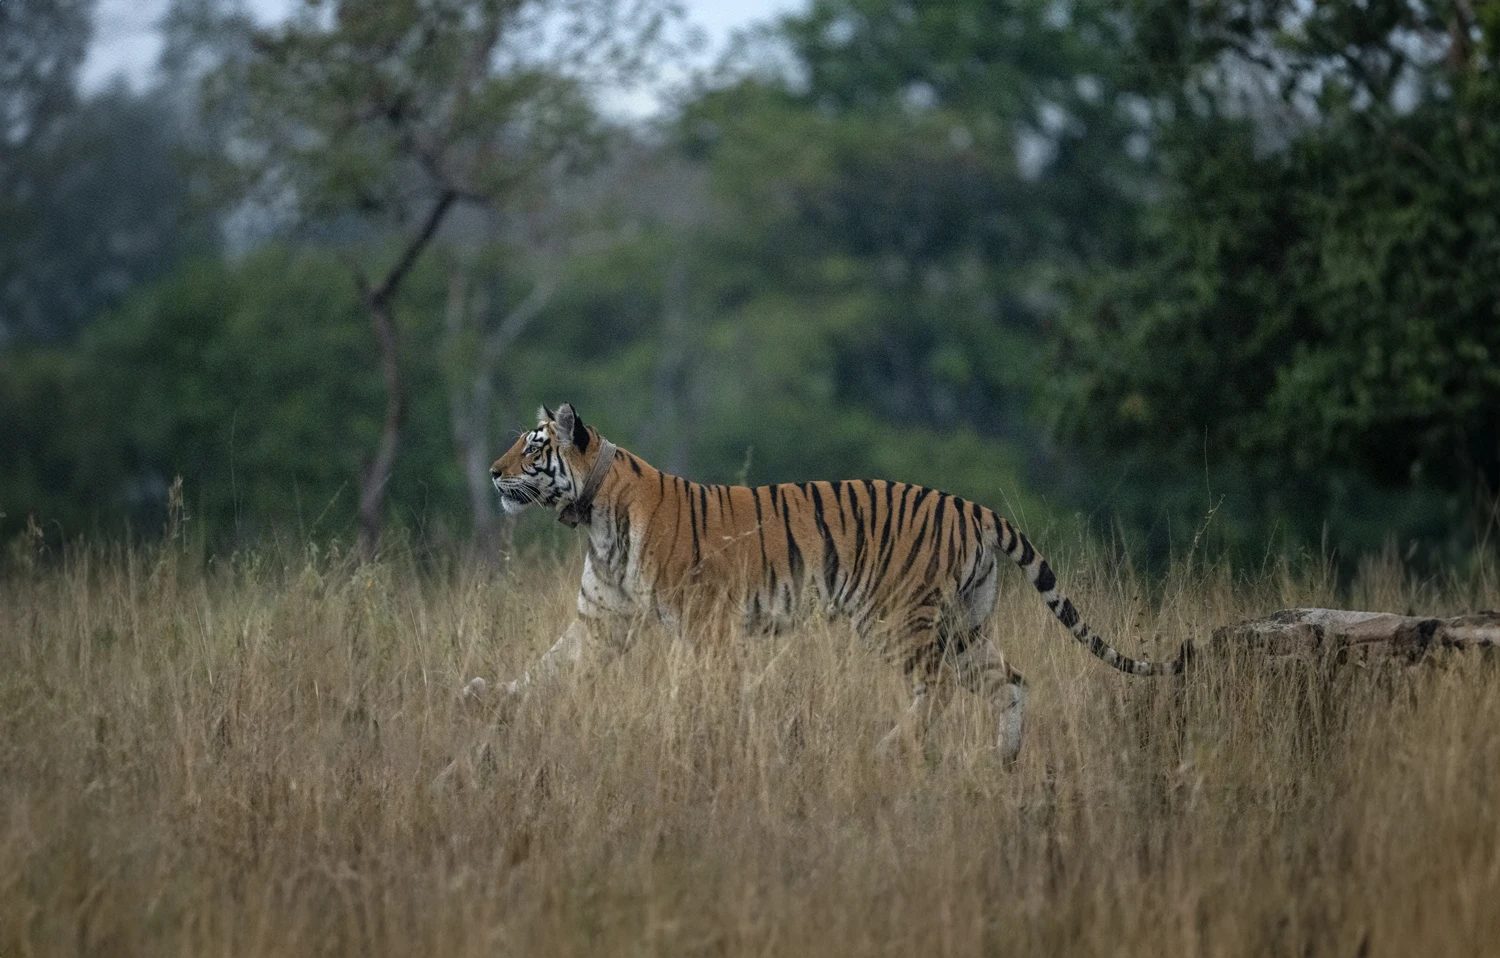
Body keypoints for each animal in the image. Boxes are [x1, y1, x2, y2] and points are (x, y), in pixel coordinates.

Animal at [487, 402, 1190, 763]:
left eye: (533, 446)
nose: (493, 473)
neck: (593, 514)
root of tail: (970, 506)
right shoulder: (599, 623)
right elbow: (548, 668)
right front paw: (490, 700)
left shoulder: (706, 626)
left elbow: (702, 690)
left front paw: (697, 735)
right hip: (966, 623)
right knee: (1011, 682)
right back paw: (1004, 762)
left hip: (896, 617)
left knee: (936, 687)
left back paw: (891, 748)